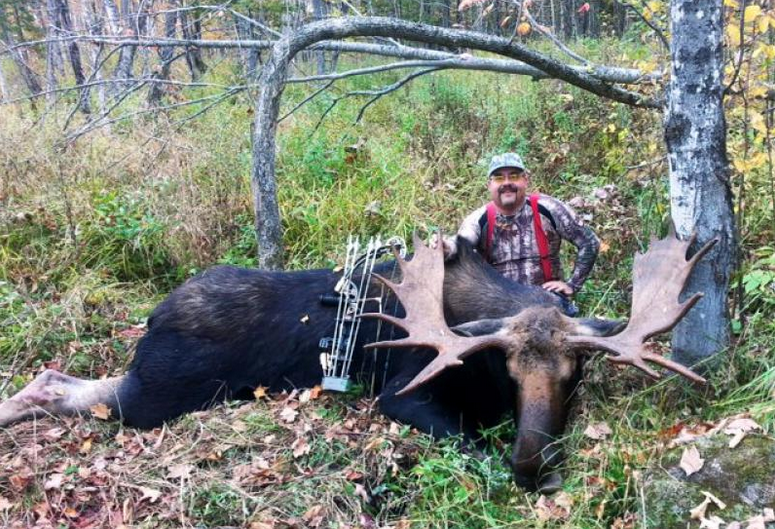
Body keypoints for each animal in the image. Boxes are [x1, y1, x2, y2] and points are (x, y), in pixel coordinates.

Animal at [0, 230, 714, 493]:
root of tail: (151, 317)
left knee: (55, 375)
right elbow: (466, 441)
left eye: (573, 374)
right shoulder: (400, 393)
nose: (532, 464)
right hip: (163, 392)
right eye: (509, 373)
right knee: (73, 392)